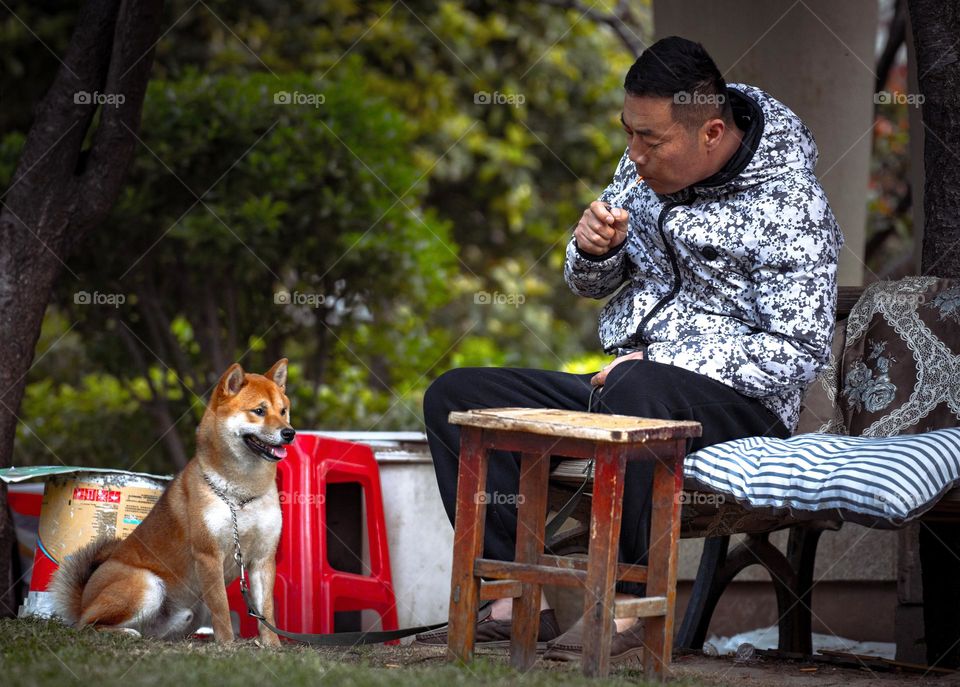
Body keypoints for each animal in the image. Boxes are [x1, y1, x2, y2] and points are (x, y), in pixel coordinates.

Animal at [48, 360, 294, 644]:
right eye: (259, 411)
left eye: (283, 411)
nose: (290, 433)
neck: (242, 494)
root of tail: (83, 600)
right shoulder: (208, 556)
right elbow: (221, 608)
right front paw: (227, 644)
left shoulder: (263, 558)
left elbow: (266, 612)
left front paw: (272, 645)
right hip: (148, 584)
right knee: (88, 625)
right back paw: (124, 632)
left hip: (191, 612)